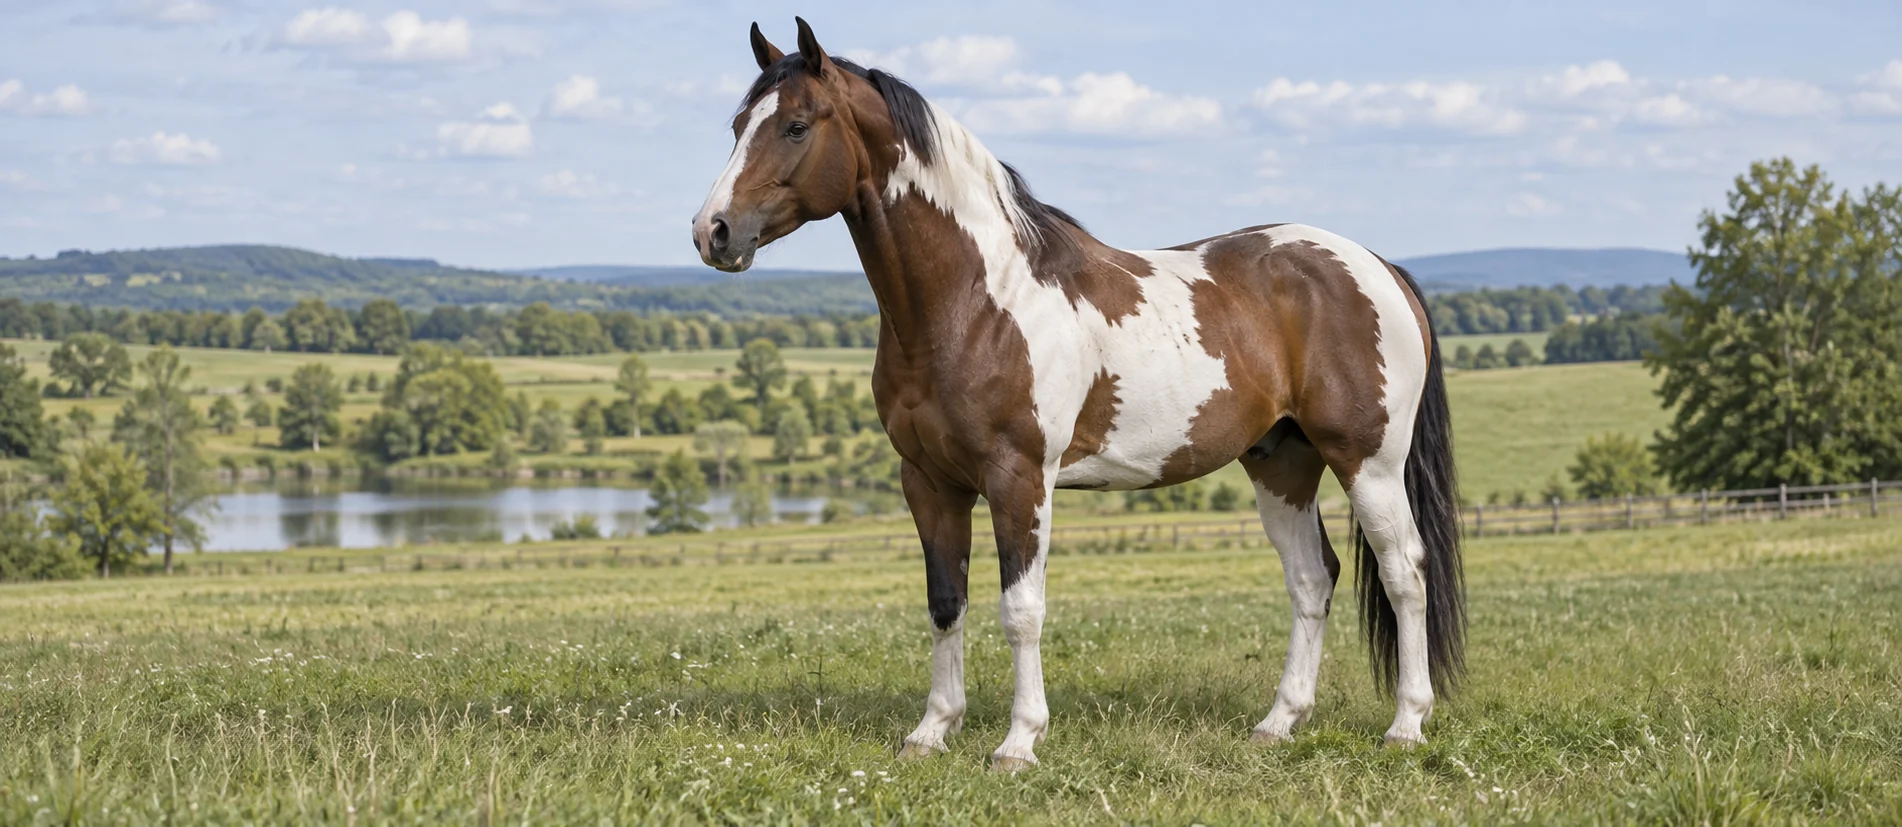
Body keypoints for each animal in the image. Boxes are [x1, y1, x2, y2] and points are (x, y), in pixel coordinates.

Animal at [691, 18, 1464, 771]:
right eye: (737, 124)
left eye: (797, 126)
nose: (713, 232)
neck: (978, 302)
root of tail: (1378, 266)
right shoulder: (929, 481)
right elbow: (946, 602)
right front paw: (932, 730)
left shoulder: (1020, 478)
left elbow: (1021, 609)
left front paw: (1019, 741)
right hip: (1282, 463)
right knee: (1311, 579)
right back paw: (1278, 724)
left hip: (1367, 462)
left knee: (1405, 572)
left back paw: (1405, 726)